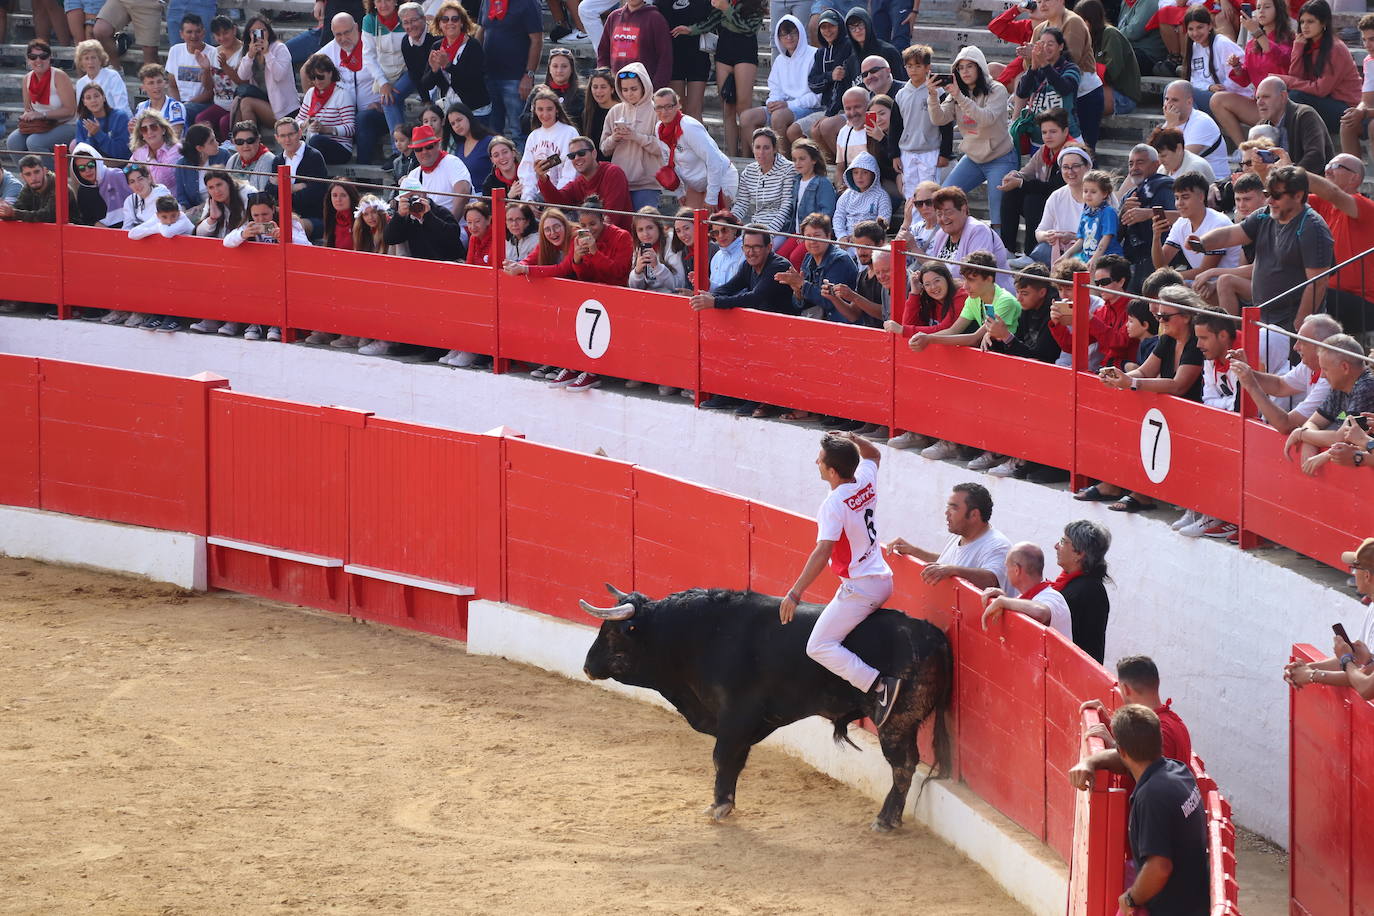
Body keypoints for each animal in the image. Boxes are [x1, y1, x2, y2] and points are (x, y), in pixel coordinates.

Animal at [582, 587, 956, 829]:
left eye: (613, 631)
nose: (587, 666)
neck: (699, 634)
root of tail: (931, 634)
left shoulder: (735, 717)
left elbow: (722, 758)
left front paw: (720, 806)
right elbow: (734, 761)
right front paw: (724, 803)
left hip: (895, 721)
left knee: (902, 765)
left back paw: (885, 820)